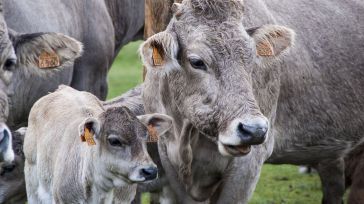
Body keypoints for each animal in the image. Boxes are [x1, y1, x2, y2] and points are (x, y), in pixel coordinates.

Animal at [139, 0, 364, 204]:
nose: (254, 129)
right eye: (196, 62)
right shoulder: (168, 160)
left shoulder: (248, 165)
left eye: (251, 59)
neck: (186, 135)